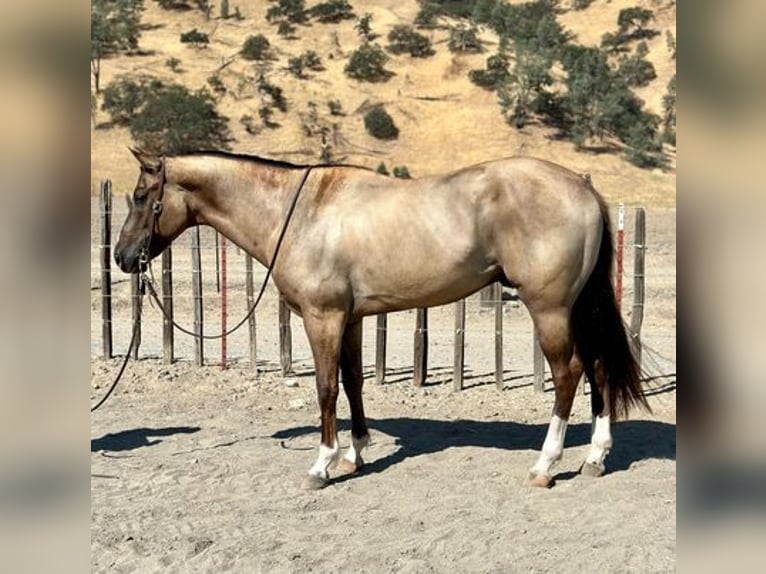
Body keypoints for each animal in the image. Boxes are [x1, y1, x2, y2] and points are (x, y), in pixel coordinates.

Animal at [117, 148, 652, 490]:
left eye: (142, 196)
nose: (123, 257)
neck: (302, 212)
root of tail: (580, 186)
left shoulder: (322, 319)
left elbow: (326, 388)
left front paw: (322, 463)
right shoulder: (350, 319)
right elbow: (354, 382)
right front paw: (355, 454)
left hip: (550, 309)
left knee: (569, 374)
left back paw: (546, 465)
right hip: (577, 308)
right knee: (598, 369)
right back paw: (595, 457)